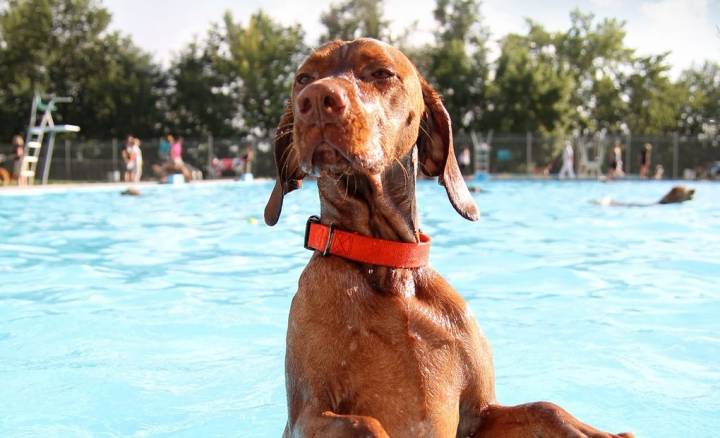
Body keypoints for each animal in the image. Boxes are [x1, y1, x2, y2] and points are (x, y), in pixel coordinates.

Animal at [262, 39, 632, 436]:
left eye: (380, 72)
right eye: (303, 78)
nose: (315, 99)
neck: (389, 268)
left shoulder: (480, 413)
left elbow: (546, 408)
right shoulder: (307, 415)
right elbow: (367, 423)